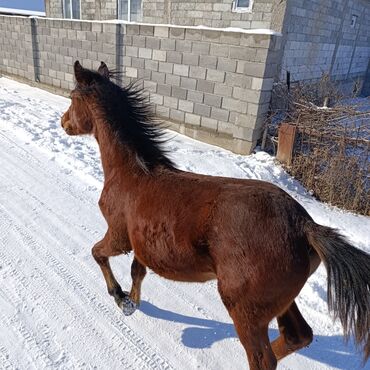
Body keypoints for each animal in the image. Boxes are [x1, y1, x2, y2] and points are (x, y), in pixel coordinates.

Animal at [62, 61, 368, 370]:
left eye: (72, 98)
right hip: (279, 301)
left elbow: (98, 253)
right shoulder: (143, 243)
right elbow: (139, 271)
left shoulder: (119, 237)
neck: (132, 173)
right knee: (298, 335)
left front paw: (120, 299)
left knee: (263, 358)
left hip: (244, 308)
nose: (64, 122)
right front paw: (132, 303)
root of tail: (305, 226)